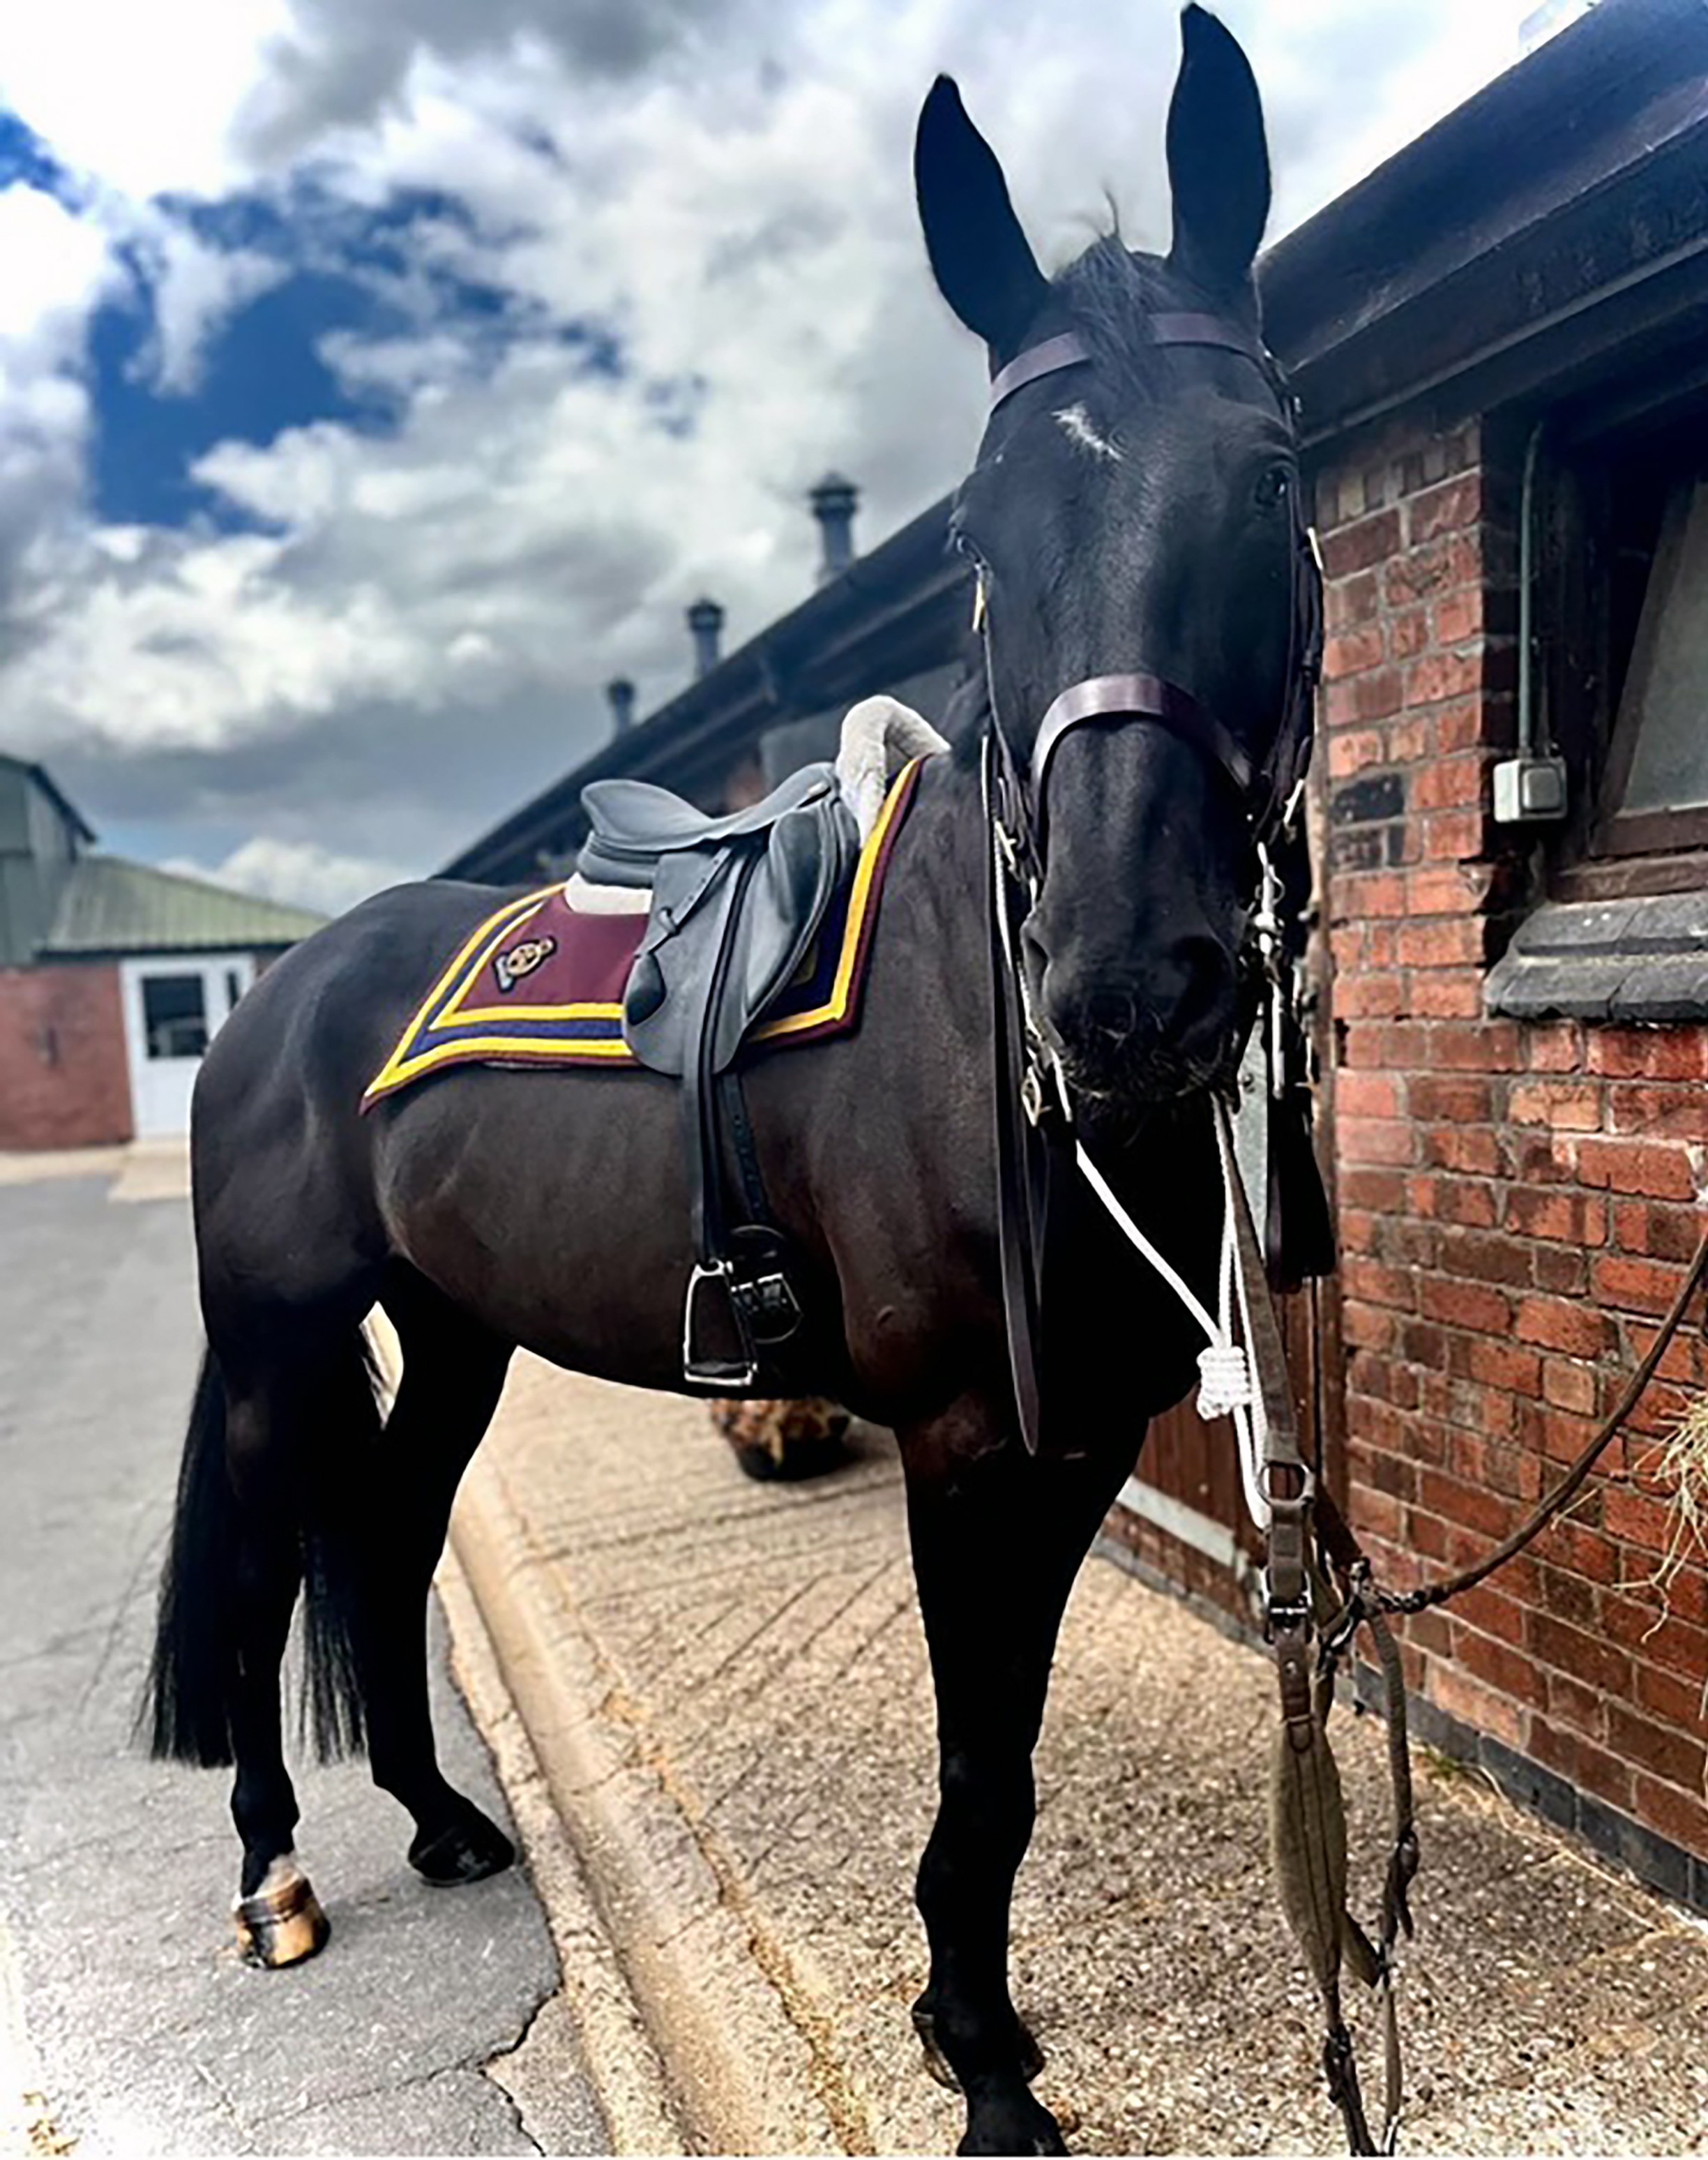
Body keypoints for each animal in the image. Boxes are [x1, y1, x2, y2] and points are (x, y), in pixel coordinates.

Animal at [148, 11, 1312, 2152]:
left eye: (1269, 473)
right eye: (974, 533)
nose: (1127, 991)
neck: (972, 1012)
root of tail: (270, 1003)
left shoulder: (1072, 1438)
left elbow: (1007, 1756)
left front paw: (969, 2028)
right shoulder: (968, 1438)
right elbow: (983, 1767)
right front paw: (982, 2064)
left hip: (453, 1334)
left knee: (389, 1535)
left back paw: (436, 1819)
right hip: (276, 1343)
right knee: (273, 1569)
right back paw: (275, 1876)